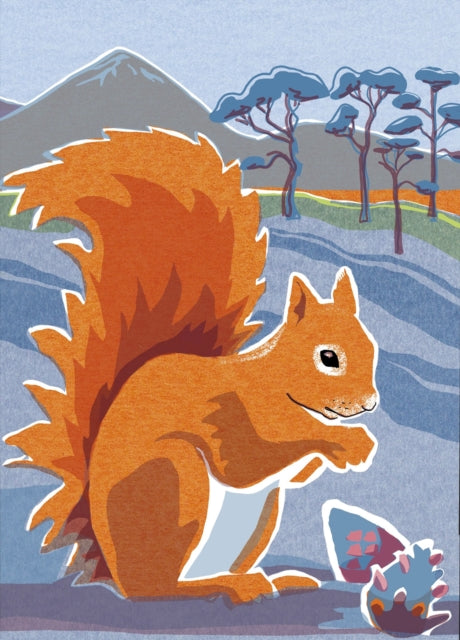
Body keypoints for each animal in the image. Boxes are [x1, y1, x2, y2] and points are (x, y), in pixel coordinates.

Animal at [4, 127, 378, 604]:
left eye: (371, 347)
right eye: (328, 358)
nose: (369, 403)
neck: (275, 387)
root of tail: (112, 570)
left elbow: (292, 473)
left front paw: (355, 445)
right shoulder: (222, 411)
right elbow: (246, 461)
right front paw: (344, 442)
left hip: (258, 517)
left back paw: (274, 580)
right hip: (174, 477)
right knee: (157, 588)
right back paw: (226, 586)